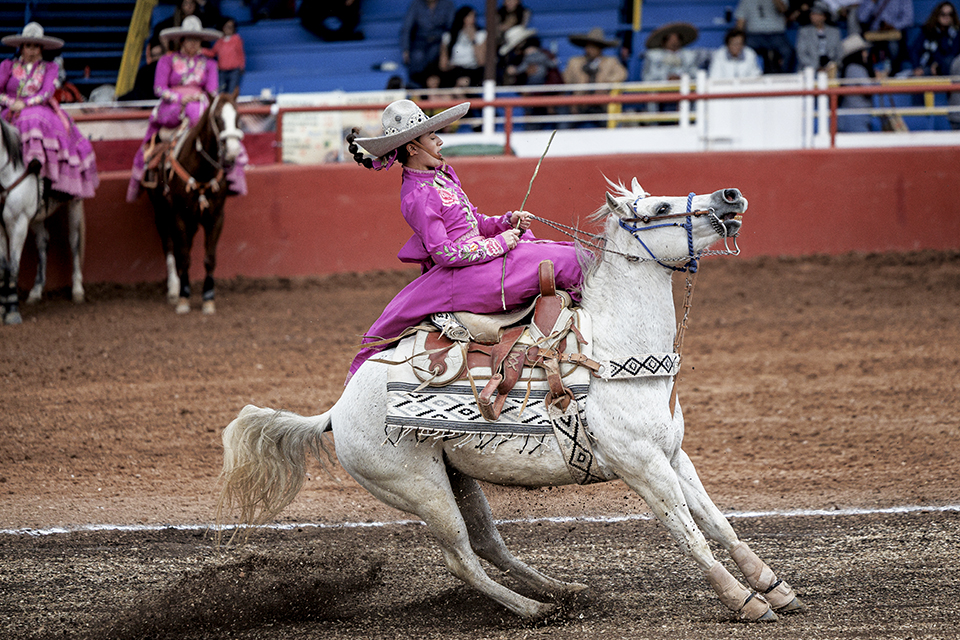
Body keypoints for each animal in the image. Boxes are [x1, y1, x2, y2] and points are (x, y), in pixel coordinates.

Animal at [145, 90, 243, 314]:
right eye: (217, 117)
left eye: (238, 118)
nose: (233, 152)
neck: (201, 171)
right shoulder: (178, 216)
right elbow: (183, 255)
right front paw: (183, 298)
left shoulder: (216, 217)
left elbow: (209, 258)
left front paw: (208, 299)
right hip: (161, 214)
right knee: (170, 247)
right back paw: (174, 288)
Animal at [217, 181, 806, 622]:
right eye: (660, 208)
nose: (730, 195)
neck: (615, 351)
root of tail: (335, 412)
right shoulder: (642, 466)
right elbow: (689, 534)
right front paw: (744, 601)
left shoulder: (673, 456)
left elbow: (717, 522)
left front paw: (773, 586)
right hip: (420, 489)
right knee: (461, 559)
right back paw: (533, 610)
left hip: (457, 478)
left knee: (489, 545)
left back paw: (563, 592)